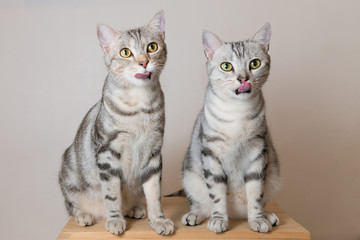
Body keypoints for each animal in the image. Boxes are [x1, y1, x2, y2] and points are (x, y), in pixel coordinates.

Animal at [58, 10, 174, 234]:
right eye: (126, 52)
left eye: (152, 47)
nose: (143, 62)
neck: (139, 106)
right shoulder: (107, 153)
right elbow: (111, 194)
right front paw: (114, 219)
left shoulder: (154, 152)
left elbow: (154, 193)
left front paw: (158, 220)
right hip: (69, 174)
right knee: (71, 205)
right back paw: (85, 215)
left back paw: (134, 208)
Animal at [181, 23, 280, 233]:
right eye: (226, 66)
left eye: (255, 63)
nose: (243, 79)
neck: (238, 114)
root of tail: (236, 214)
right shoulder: (211, 154)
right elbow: (217, 195)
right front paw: (219, 220)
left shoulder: (258, 152)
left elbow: (255, 195)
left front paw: (258, 219)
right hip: (190, 177)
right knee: (201, 204)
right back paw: (194, 215)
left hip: (273, 174)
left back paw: (267, 216)